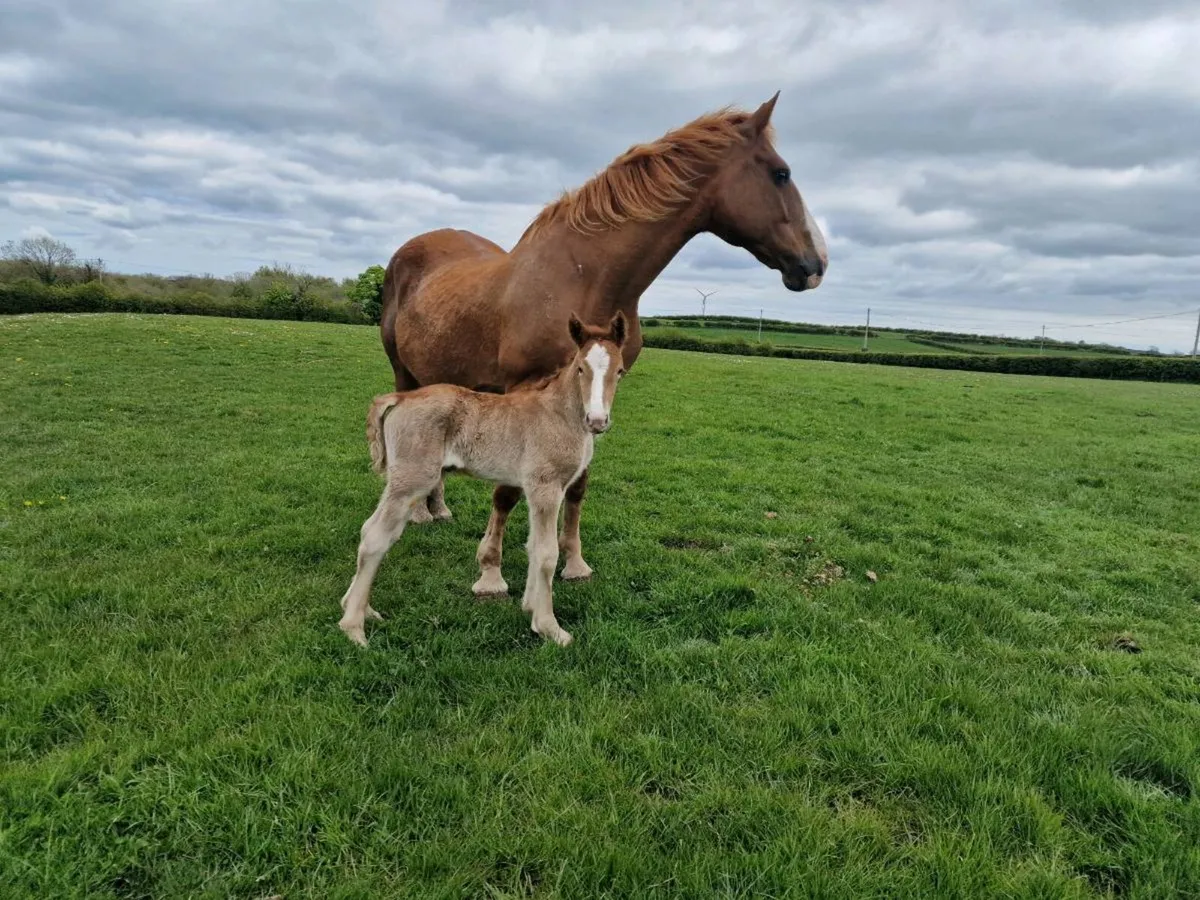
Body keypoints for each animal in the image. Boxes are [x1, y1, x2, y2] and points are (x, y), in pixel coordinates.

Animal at [339, 312, 629, 648]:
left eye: (620, 370)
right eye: (581, 368)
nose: (597, 421)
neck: (559, 414)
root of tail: (400, 398)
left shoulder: (534, 488)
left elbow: (533, 546)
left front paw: (530, 608)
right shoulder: (546, 486)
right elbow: (546, 554)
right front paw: (550, 628)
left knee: (368, 529)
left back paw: (361, 608)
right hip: (412, 480)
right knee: (375, 538)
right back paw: (353, 627)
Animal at [379, 91, 828, 597]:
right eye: (781, 173)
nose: (817, 263)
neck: (584, 276)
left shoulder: (599, 393)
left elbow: (577, 484)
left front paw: (572, 562)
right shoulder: (522, 388)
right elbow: (508, 490)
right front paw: (491, 573)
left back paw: (436, 507)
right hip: (404, 372)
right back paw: (419, 511)